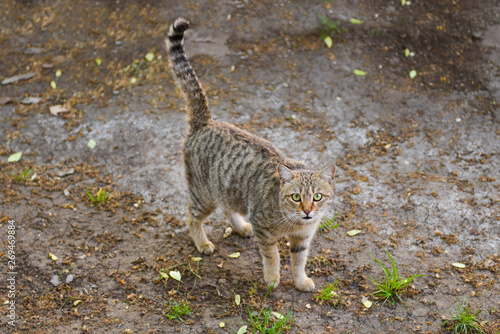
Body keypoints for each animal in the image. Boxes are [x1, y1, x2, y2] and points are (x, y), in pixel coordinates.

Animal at [165, 17, 336, 290]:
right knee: (191, 215)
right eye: (296, 198)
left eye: (318, 197)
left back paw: (239, 227)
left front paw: (300, 281)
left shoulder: (303, 238)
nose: (308, 211)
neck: (295, 222)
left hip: (227, 188)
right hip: (204, 194)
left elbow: (299, 262)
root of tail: (206, 122)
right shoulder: (263, 229)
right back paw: (202, 242)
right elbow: (272, 256)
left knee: (227, 208)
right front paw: (272, 279)